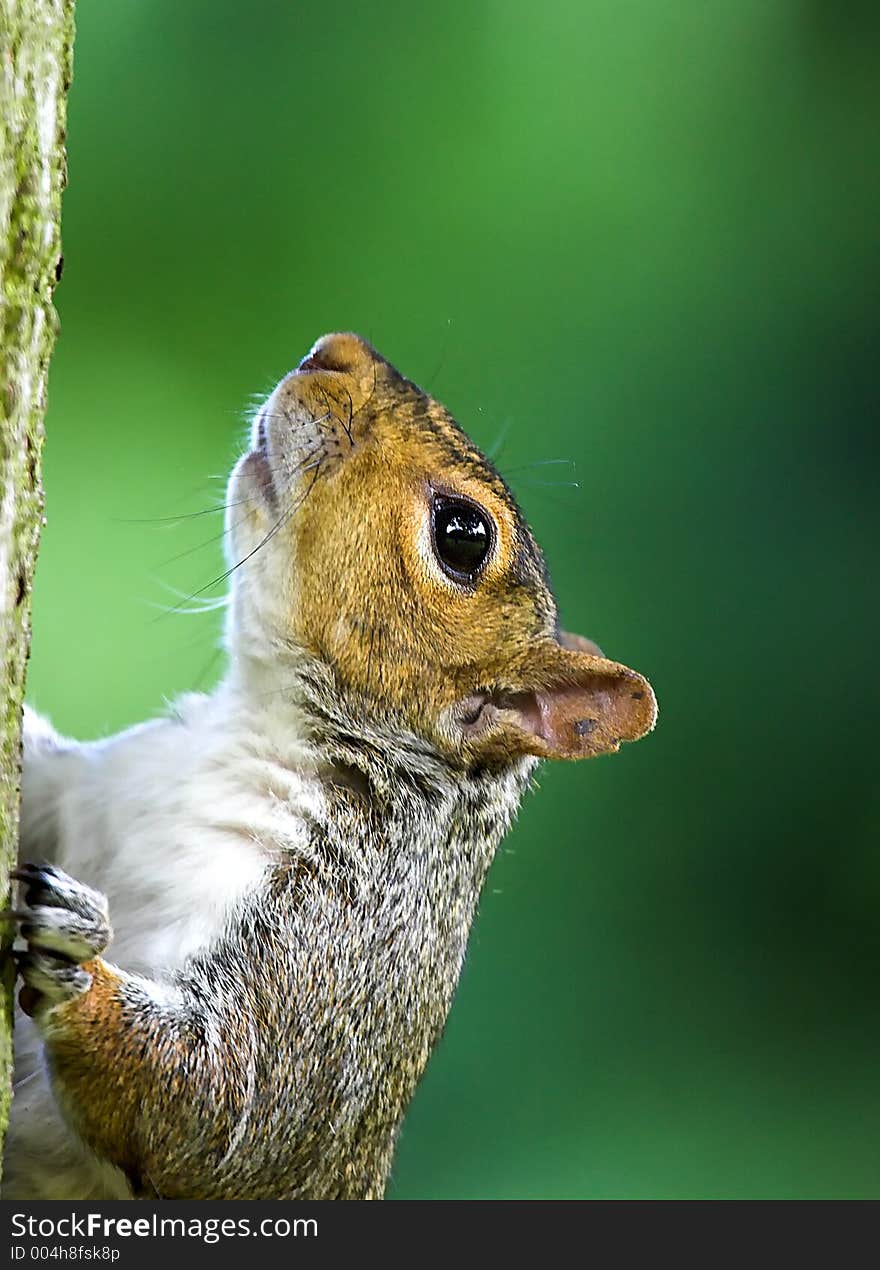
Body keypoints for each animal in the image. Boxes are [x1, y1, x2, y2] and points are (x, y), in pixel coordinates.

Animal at [3, 330, 650, 1198]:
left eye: (463, 536)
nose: (336, 350)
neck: (256, 725)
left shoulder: (335, 958)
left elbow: (218, 1105)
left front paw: (74, 957)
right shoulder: (89, 789)